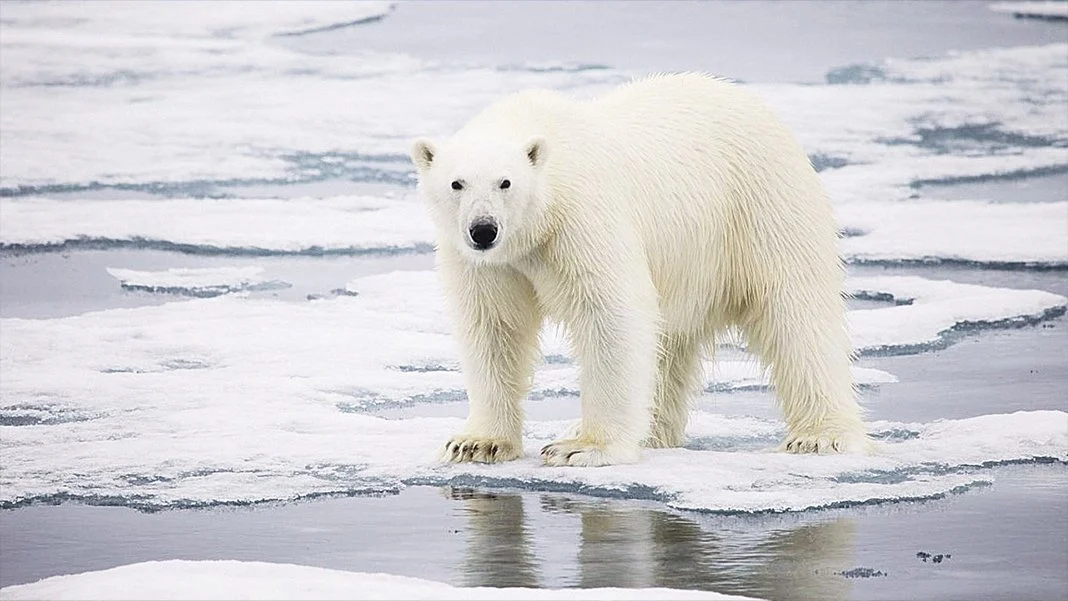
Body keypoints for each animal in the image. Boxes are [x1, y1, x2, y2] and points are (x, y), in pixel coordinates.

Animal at [407, 73, 867, 467]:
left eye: (505, 182)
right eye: (456, 183)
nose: (483, 230)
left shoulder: (582, 220)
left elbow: (610, 315)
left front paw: (582, 446)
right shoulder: (488, 264)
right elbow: (493, 326)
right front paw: (476, 443)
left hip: (761, 206)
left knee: (796, 313)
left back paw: (820, 436)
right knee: (669, 345)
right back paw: (654, 432)